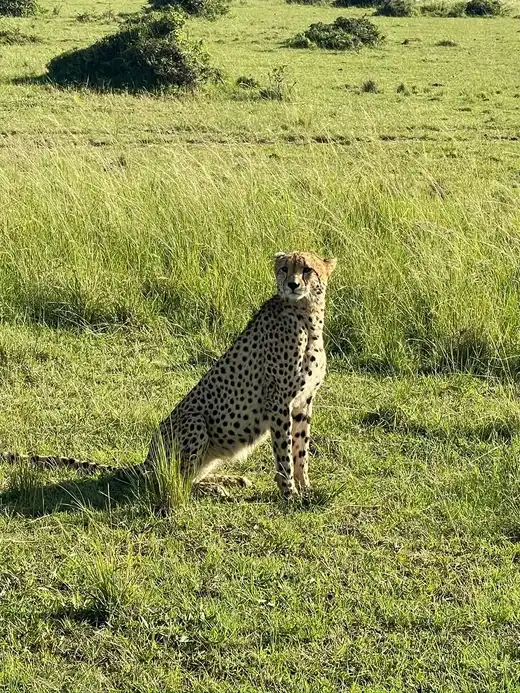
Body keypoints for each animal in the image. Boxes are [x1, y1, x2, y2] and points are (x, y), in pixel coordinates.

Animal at [1, 250, 337, 499]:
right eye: (284, 268)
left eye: (307, 269)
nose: (293, 284)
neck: (307, 317)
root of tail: (147, 459)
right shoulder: (278, 402)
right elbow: (284, 454)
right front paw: (289, 494)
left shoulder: (302, 402)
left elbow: (300, 451)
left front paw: (306, 489)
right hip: (194, 421)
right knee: (174, 482)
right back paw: (216, 488)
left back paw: (227, 480)